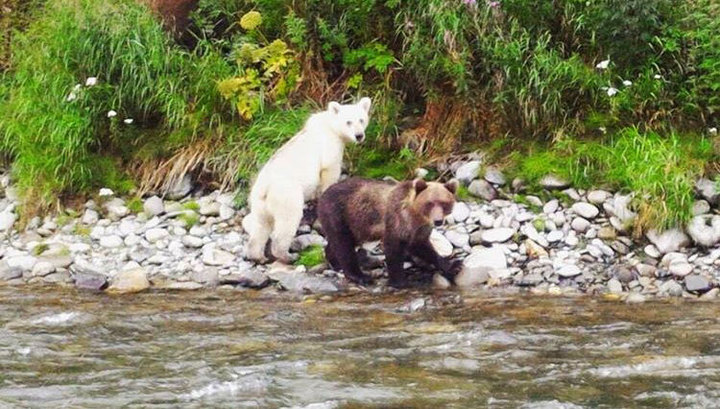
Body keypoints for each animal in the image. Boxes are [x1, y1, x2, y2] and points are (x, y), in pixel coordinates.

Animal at [246, 97, 374, 262]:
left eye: (361, 119)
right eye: (348, 122)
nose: (359, 136)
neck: (329, 126)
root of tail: (263, 188)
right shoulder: (330, 147)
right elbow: (329, 170)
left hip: (259, 204)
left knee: (261, 226)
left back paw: (258, 256)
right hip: (286, 197)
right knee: (287, 221)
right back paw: (288, 255)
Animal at [316, 178, 462, 286]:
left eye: (444, 203)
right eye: (430, 203)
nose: (438, 221)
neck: (416, 216)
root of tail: (324, 193)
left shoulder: (418, 230)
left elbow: (423, 248)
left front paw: (453, 265)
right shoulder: (397, 220)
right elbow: (393, 248)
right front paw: (399, 281)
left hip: (356, 226)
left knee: (339, 242)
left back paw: (335, 263)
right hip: (340, 213)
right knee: (343, 243)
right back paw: (360, 276)